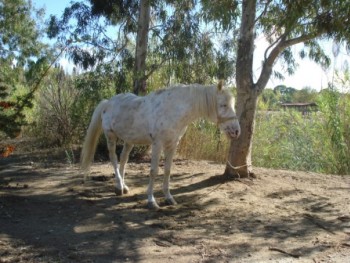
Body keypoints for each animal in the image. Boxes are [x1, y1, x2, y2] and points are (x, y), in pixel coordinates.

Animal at [81, 82, 241, 210]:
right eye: (223, 105)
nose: (236, 131)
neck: (173, 109)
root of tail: (108, 102)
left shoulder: (172, 145)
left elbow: (167, 171)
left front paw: (169, 198)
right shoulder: (157, 144)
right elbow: (154, 171)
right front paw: (151, 201)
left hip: (129, 141)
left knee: (123, 160)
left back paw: (123, 187)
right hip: (111, 137)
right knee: (114, 159)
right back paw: (119, 187)